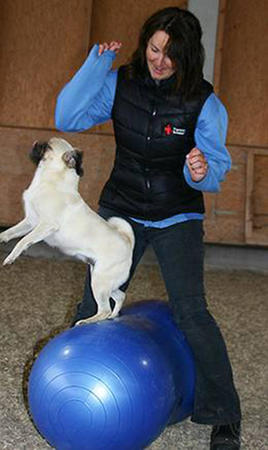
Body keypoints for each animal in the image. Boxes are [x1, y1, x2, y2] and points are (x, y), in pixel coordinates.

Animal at [0, 137, 134, 324]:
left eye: (47, 146)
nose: (37, 142)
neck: (50, 179)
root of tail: (128, 243)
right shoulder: (30, 222)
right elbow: (11, 233)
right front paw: (1, 238)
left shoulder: (45, 225)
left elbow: (23, 241)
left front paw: (11, 257)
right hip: (103, 280)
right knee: (120, 296)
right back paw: (113, 317)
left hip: (99, 282)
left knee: (104, 309)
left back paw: (86, 322)